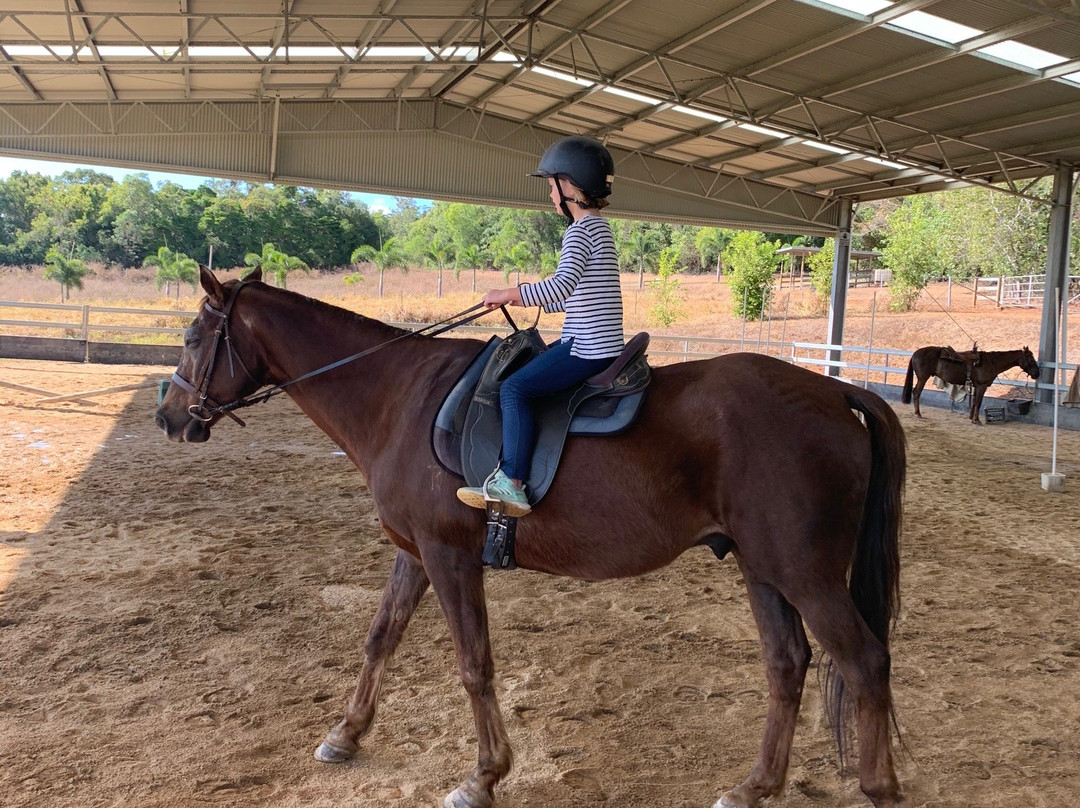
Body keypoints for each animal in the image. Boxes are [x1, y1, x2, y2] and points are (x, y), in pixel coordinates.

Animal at [155, 267, 910, 808]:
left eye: (192, 340)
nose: (170, 417)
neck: (399, 397)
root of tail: (834, 392)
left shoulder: (450, 558)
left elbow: (474, 663)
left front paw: (483, 777)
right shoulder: (415, 554)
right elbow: (380, 639)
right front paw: (344, 735)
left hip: (806, 575)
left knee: (866, 662)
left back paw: (878, 787)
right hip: (764, 569)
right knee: (788, 664)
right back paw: (754, 786)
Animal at [900, 345, 1040, 423]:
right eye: (1031, 358)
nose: (1037, 373)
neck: (992, 362)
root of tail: (915, 354)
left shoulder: (977, 386)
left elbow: (974, 402)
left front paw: (971, 417)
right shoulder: (982, 386)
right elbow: (978, 402)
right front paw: (976, 420)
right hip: (922, 378)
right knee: (916, 393)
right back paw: (918, 413)